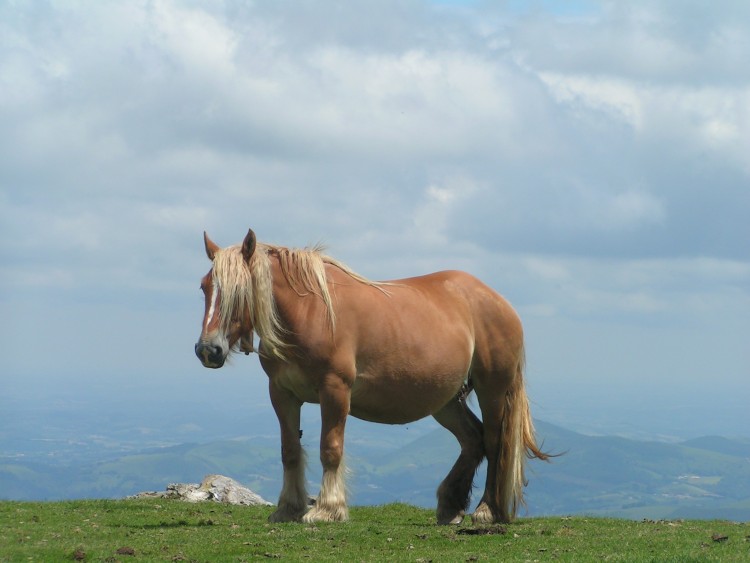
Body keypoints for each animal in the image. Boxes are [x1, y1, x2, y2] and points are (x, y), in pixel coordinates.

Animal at [194, 228, 548, 524]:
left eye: (241, 290)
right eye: (205, 286)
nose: (208, 350)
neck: (309, 313)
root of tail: (499, 302)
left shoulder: (334, 389)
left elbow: (330, 448)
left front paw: (327, 510)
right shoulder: (282, 393)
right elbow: (289, 450)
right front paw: (288, 509)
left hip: (492, 390)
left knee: (494, 441)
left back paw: (487, 510)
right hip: (446, 400)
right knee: (473, 440)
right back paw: (450, 505)